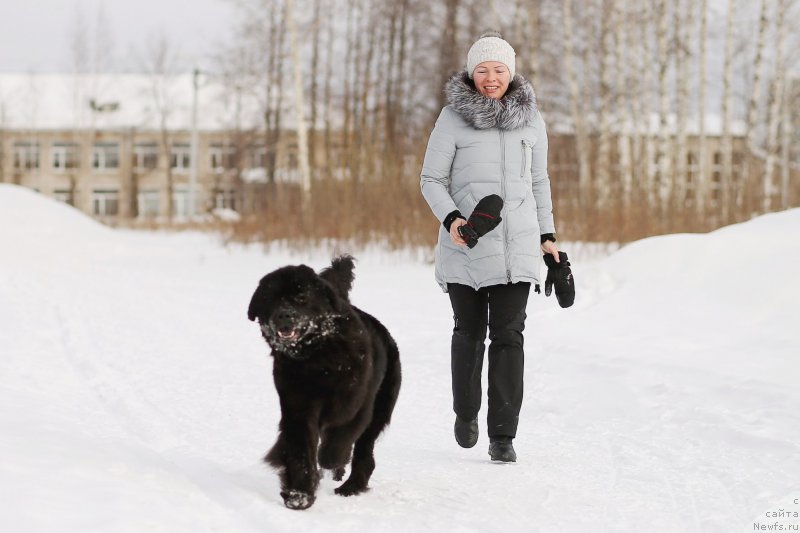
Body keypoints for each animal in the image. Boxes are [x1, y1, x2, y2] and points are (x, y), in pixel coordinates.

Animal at [247, 256, 400, 510]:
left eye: (301, 297)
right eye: (271, 299)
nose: (283, 315)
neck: (317, 359)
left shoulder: (356, 403)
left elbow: (339, 441)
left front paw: (329, 459)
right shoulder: (297, 406)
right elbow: (300, 451)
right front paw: (299, 495)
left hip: (380, 409)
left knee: (364, 452)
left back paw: (350, 487)